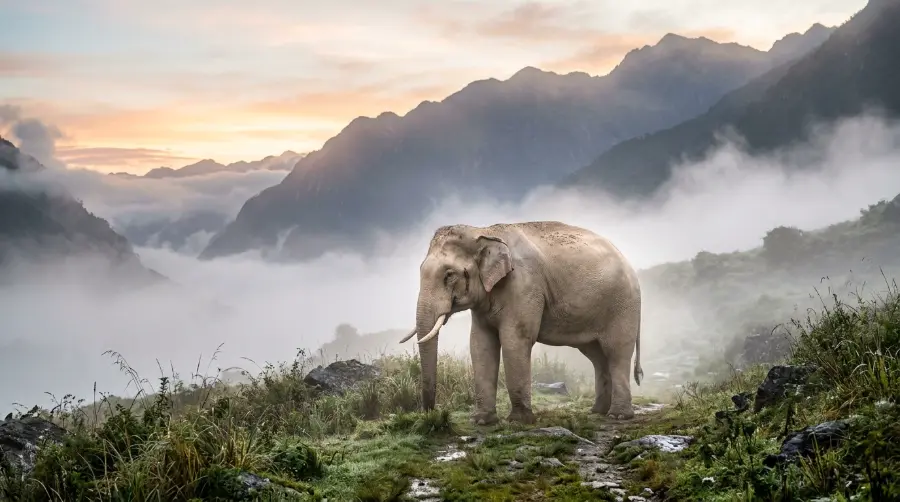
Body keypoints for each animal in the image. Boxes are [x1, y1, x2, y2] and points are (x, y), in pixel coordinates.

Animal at [399, 221, 643, 425]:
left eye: (449, 275)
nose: (432, 415)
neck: (484, 231)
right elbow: (480, 344)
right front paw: (481, 421)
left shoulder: (524, 285)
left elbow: (515, 340)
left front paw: (519, 421)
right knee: (597, 356)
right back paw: (597, 411)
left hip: (623, 306)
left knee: (616, 352)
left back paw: (618, 416)